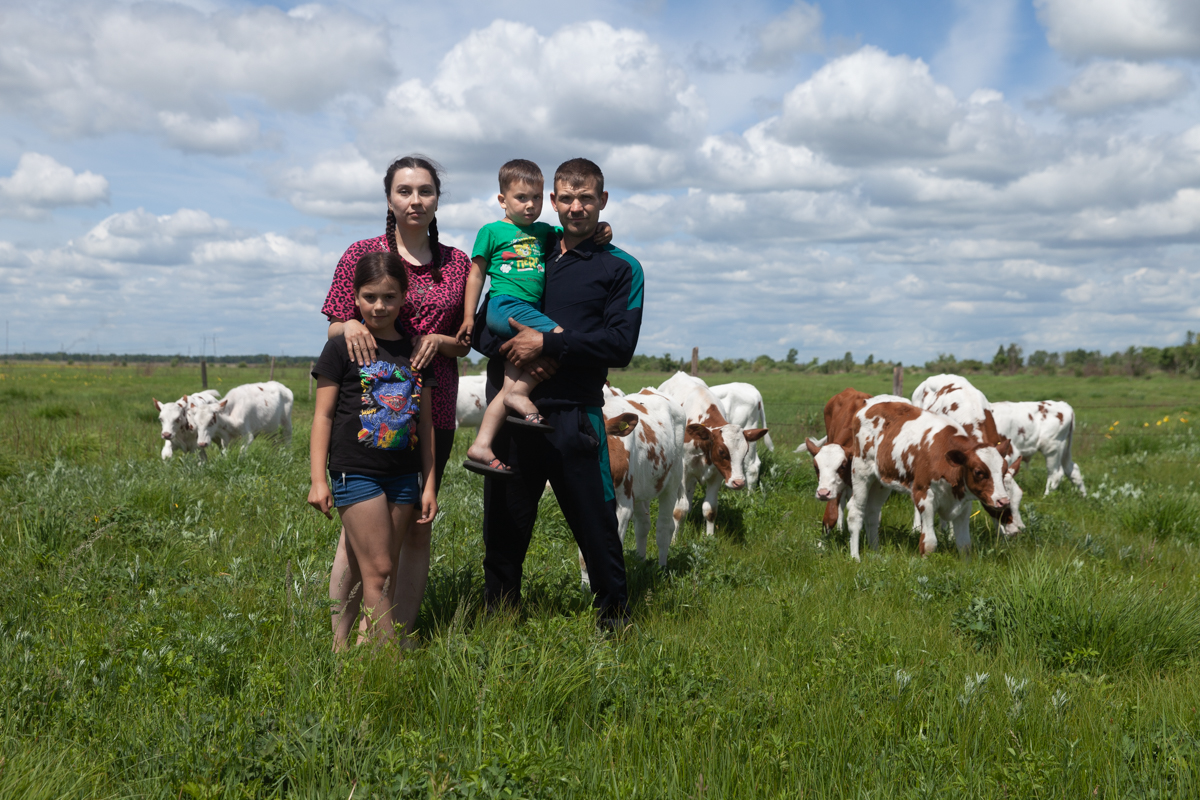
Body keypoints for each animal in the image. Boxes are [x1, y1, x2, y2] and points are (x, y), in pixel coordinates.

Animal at [578, 388, 691, 587]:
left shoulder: (623, 504)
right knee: (643, 526)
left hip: (672, 480)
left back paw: (661, 569)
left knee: (663, 528)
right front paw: (585, 589)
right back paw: (641, 564)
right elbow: (584, 555)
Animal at [657, 374, 768, 537]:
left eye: (744, 451)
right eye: (721, 451)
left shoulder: (718, 472)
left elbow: (710, 510)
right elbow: (679, 509)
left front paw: (709, 538)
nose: (738, 483)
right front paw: (674, 539)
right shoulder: (683, 469)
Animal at [849, 402, 1017, 561]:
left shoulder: (963, 504)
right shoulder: (923, 496)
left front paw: (966, 565)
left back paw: (875, 551)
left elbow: (964, 544)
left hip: (881, 482)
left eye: (1003, 471)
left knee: (872, 513)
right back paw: (855, 557)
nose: (1003, 501)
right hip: (861, 472)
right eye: (978, 472)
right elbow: (929, 543)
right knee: (856, 512)